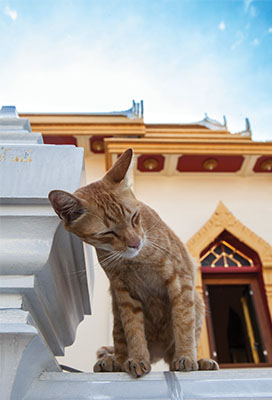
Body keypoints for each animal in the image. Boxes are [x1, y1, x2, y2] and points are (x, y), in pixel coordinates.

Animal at [49, 148, 219, 376]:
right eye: (108, 233)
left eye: (134, 217)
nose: (135, 243)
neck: (136, 261)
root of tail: (157, 351)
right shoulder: (124, 293)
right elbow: (133, 331)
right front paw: (137, 359)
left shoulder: (181, 280)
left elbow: (183, 324)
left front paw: (185, 357)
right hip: (116, 312)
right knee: (120, 345)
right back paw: (114, 362)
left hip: (198, 303)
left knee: (176, 349)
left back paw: (200, 362)